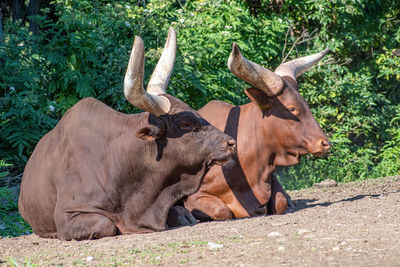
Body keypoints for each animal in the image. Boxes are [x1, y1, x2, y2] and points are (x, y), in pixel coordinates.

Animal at [184, 43, 332, 221]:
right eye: (291, 108)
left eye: (306, 104)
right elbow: (222, 210)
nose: (325, 143)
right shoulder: (193, 196)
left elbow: (280, 202)